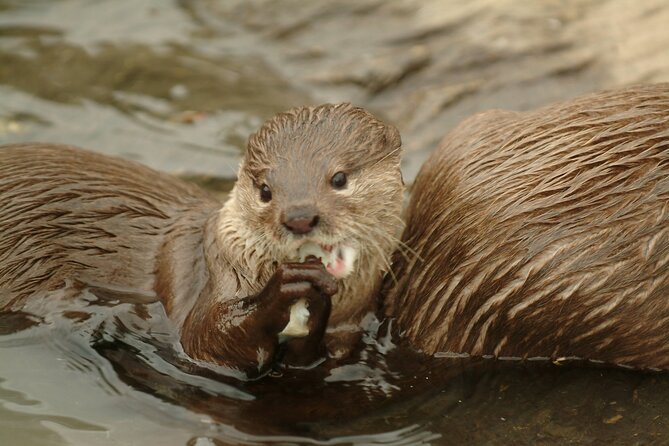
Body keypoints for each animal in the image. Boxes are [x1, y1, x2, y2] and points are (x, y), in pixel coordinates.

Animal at [0, 103, 402, 376]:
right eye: (265, 190)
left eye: (339, 178)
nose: (300, 216)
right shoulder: (210, 271)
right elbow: (204, 340)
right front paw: (284, 289)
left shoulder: (348, 328)